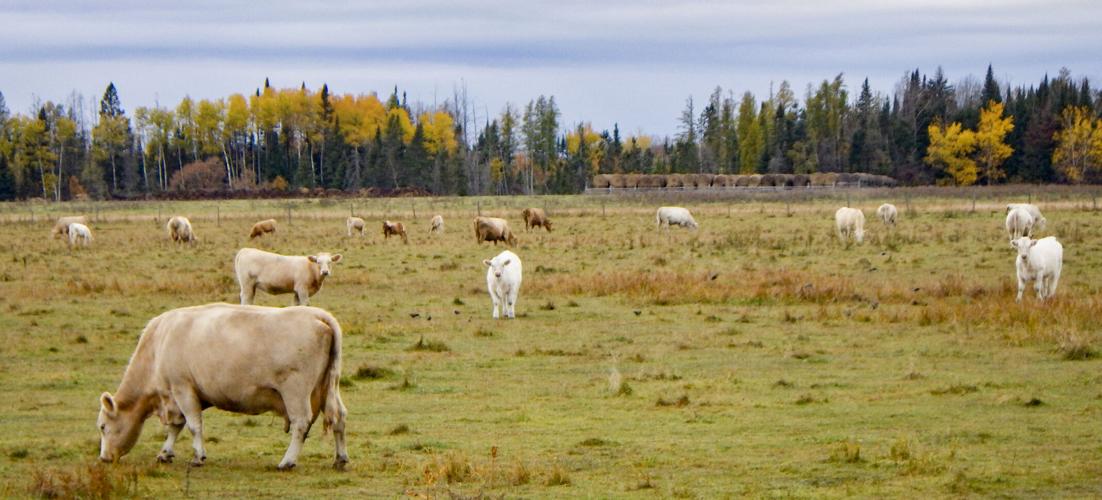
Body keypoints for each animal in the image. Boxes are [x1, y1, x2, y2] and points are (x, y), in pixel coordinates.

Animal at [95, 303, 348, 470]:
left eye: (102, 426)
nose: (104, 458)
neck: (159, 345)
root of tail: (318, 315)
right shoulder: (177, 397)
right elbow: (177, 427)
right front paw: (165, 453)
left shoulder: (182, 389)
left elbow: (193, 425)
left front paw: (197, 456)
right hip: (328, 388)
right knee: (339, 418)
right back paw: (340, 458)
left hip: (295, 392)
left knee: (300, 423)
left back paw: (287, 461)